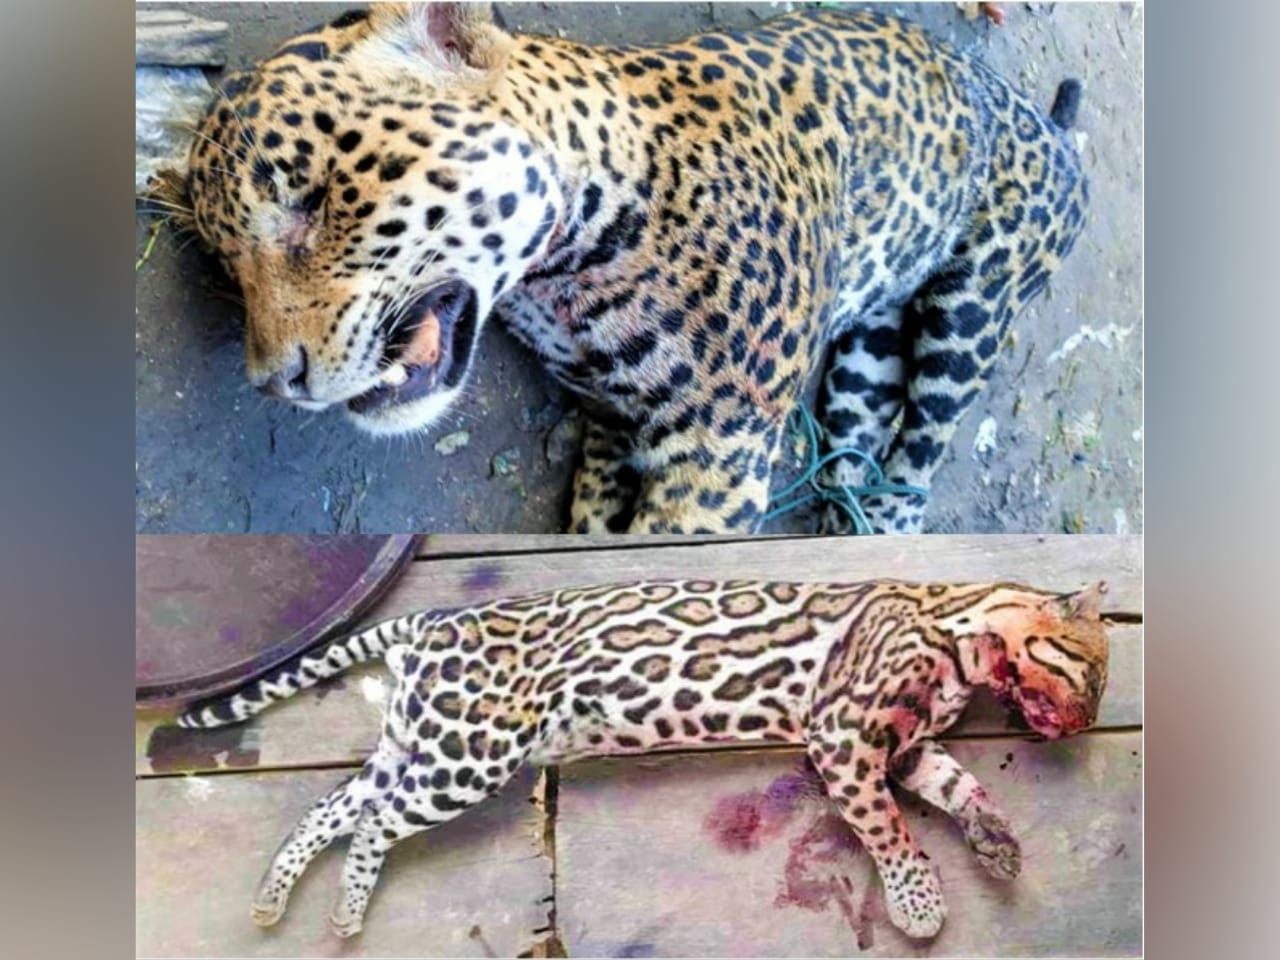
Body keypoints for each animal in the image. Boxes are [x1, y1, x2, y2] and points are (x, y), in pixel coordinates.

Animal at [152, 2, 1089, 533]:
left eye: (311, 200)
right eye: (228, 264)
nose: (277, 382)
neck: (566, 272)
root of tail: (1046, 124)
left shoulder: (721, 447)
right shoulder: (611, 414)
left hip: (973, 309)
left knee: (926, 441)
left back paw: (891, 520)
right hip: (861, 354)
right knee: (859, 436)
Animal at [176, 576, 1110, 941]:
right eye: (1095, 672)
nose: (1086, 725)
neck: (964, 636)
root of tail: (429, 620)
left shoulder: (906, 748)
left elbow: (957, 789)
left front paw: (995, 840)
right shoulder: (844, 736)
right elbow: (888, 830)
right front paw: (917, 900)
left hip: (421, 740)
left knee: (332, 806)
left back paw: (276, 897)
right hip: (466, 756)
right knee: (370, 819)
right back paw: (345, 908)